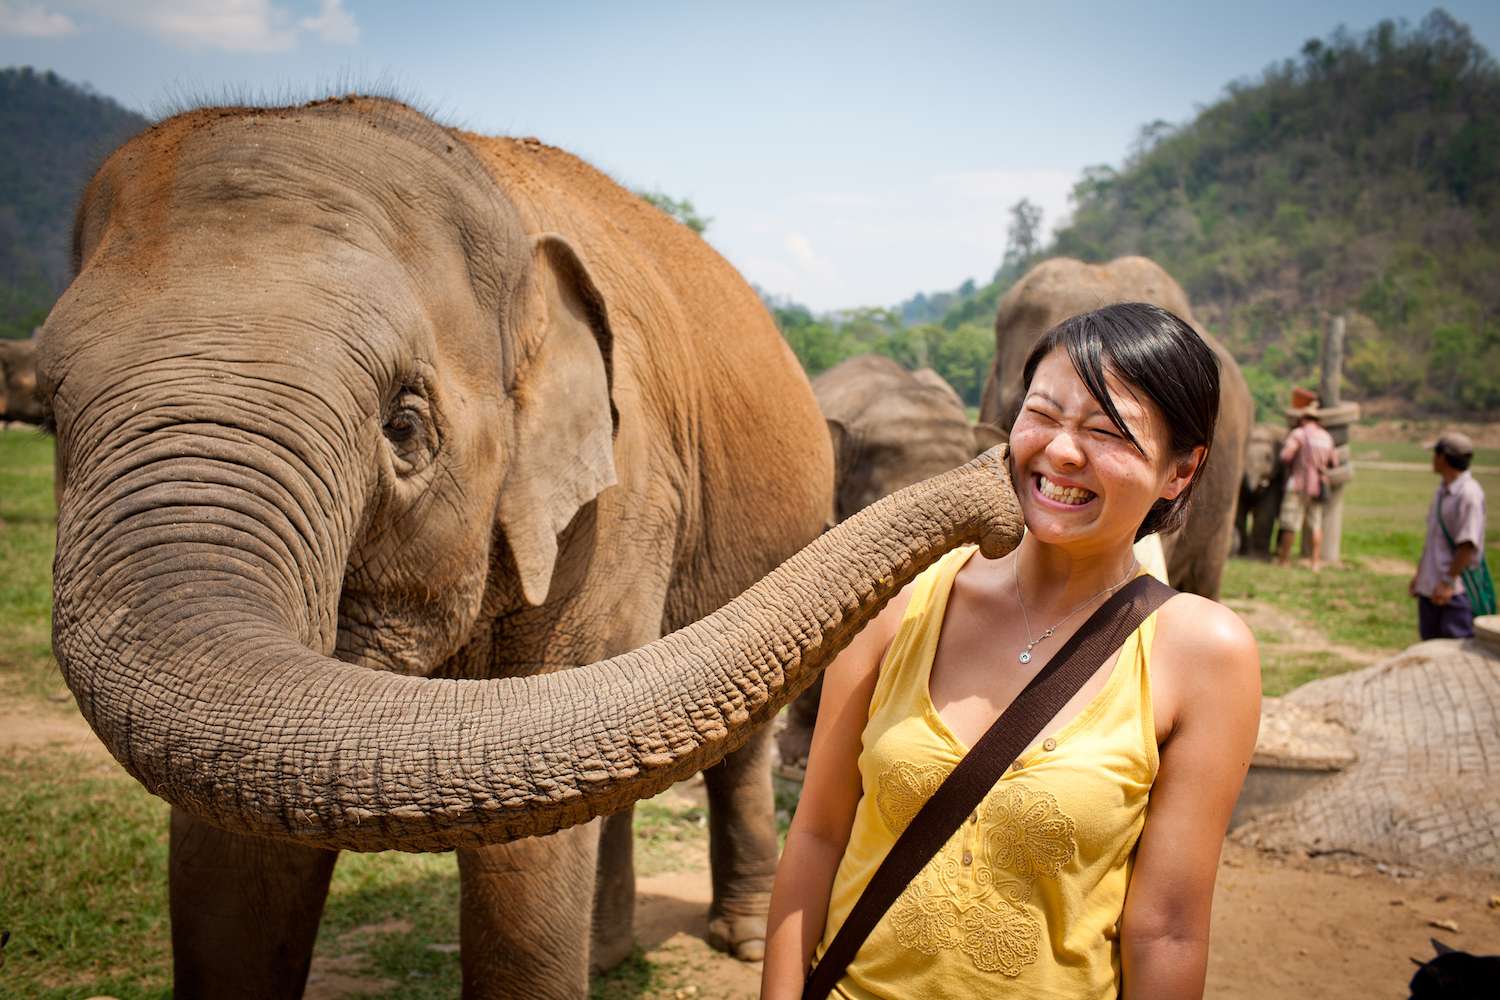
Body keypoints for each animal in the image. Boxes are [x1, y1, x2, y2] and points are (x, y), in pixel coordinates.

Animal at [36, 95, 868, 998]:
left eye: (404, 425)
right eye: (47, 413)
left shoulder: (624, 497)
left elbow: (536, 800)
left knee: (736, 745)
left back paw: (741, 942)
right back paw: (607, 956)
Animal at [1235, 423, 1288, 557]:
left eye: (1268, 458)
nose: (1251, 491)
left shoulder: (1276, 477)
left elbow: (1265, 510)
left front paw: (1257, 557)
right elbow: (1239, 509)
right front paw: (1243, 554)